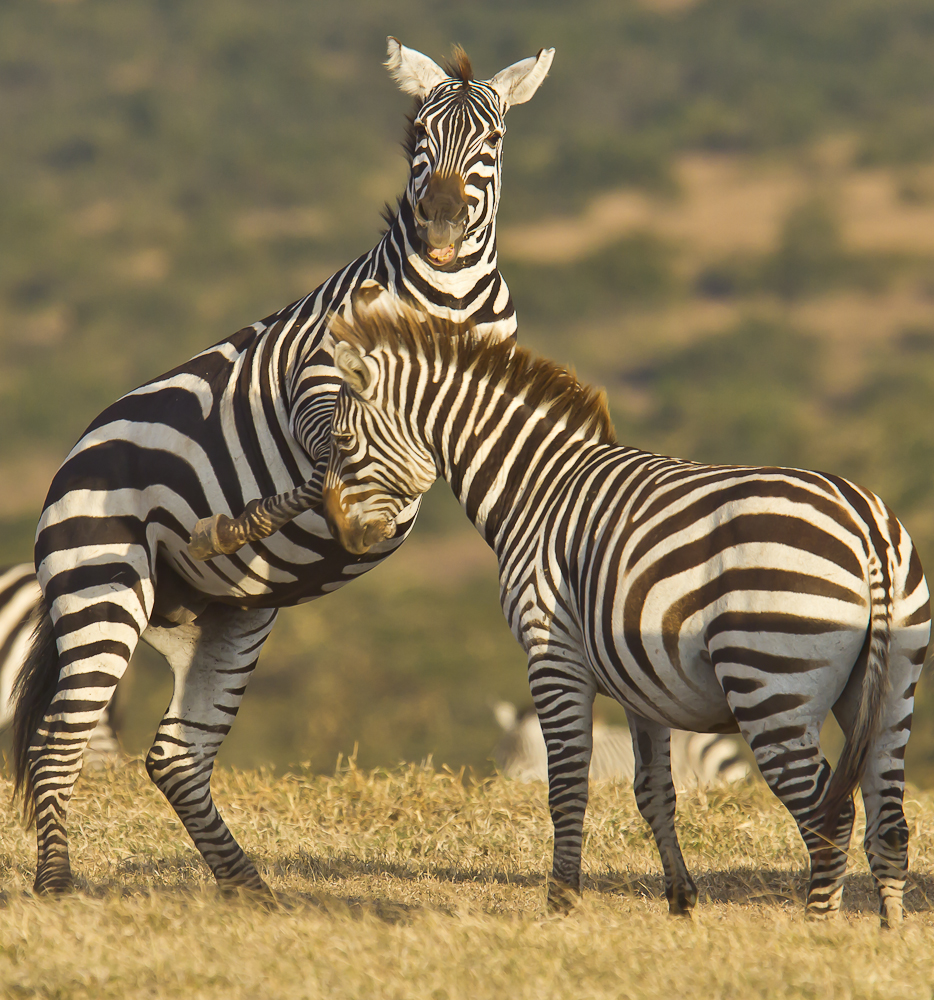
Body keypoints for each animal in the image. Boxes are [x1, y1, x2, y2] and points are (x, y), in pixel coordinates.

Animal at [11, 37, 556, 900]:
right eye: (415, 139)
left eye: (493, 143)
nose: (439, 232)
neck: (446, 301)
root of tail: (76, 455)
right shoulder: (319, 378)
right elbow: (327, 456)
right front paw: (273, 518)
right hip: (102, 586)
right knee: (60, 738)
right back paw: (59, 883)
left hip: (226, 621)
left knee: (176, 754)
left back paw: (248, 887)